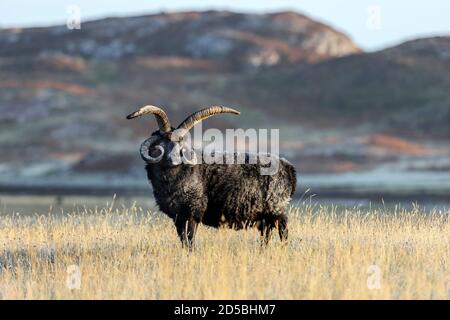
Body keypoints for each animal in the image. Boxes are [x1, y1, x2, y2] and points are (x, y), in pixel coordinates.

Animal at [126, 105, 298, 248]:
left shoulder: (193, 212)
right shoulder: (178, 218)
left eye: (181, 145)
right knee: (266, 236)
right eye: (162, 143)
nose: (173, 159)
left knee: (283, 232)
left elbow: (190, 241)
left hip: (277, 208)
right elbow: (183, 241)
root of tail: (288, 167)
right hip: (265, 216)